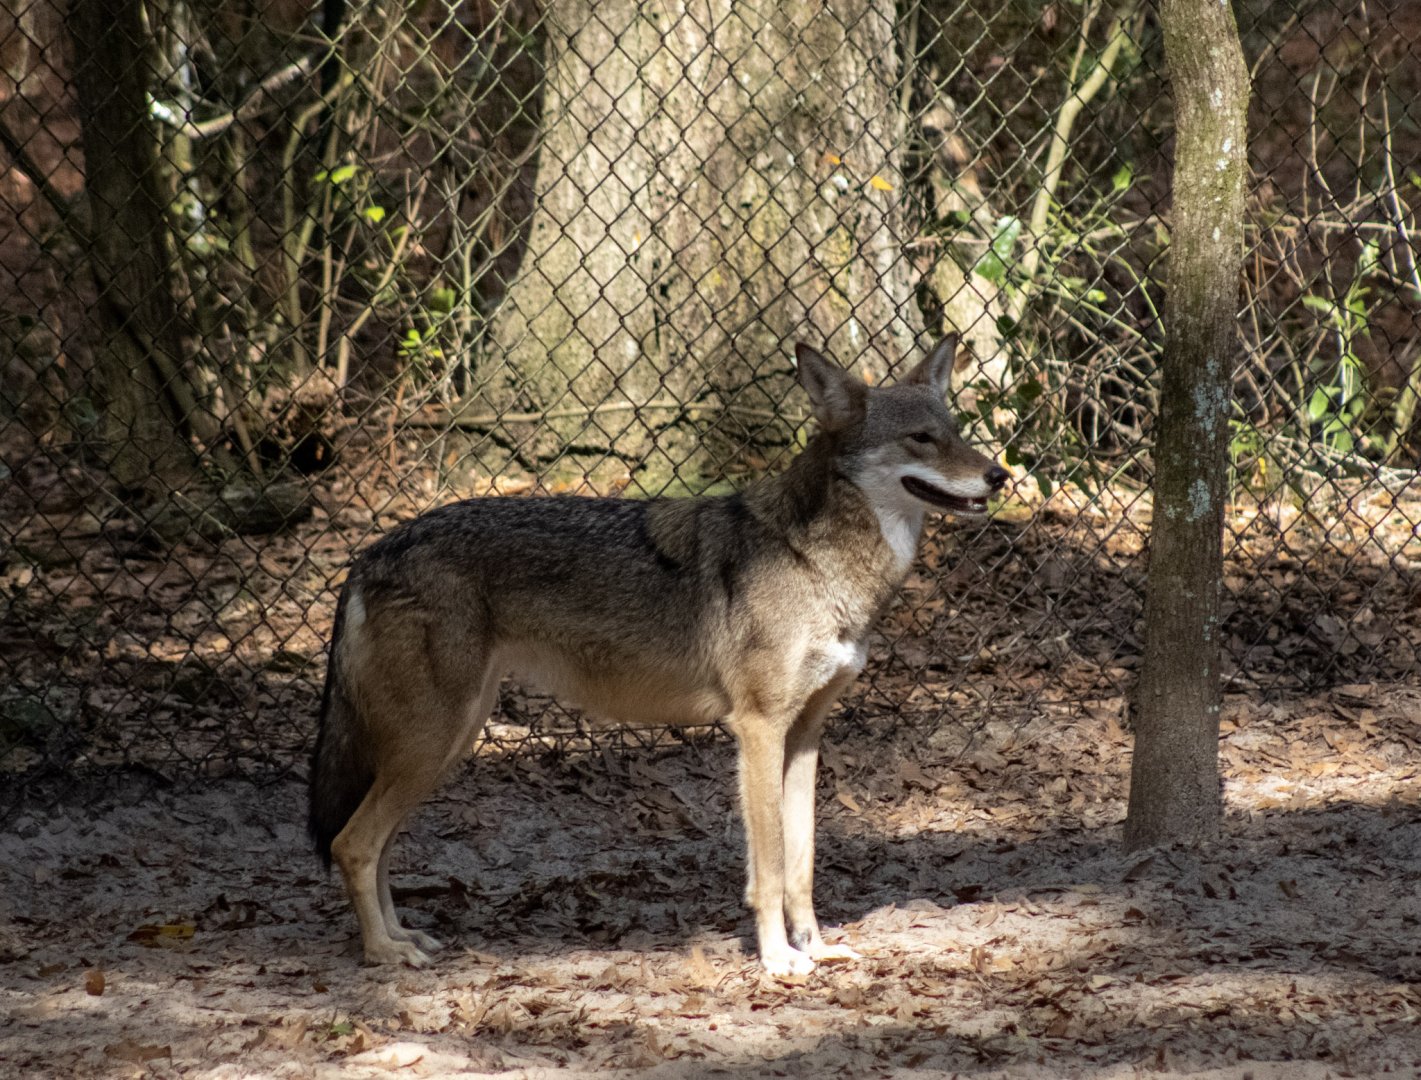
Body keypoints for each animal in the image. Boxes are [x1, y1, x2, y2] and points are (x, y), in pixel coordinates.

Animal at [309, 337, 1008, 977]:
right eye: (921, 438)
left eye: (955, 432)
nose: (999, 475)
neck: (820, 561)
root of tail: (371, 553)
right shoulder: (758, 730)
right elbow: (770, 867)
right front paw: (778, 959)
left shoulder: (806, 734)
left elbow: (802, 863)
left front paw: (815, 946)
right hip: (435, 743)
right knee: (352, 844)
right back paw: (383, 954)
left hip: (446, 744)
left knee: (377, 846)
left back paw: (403, 937)